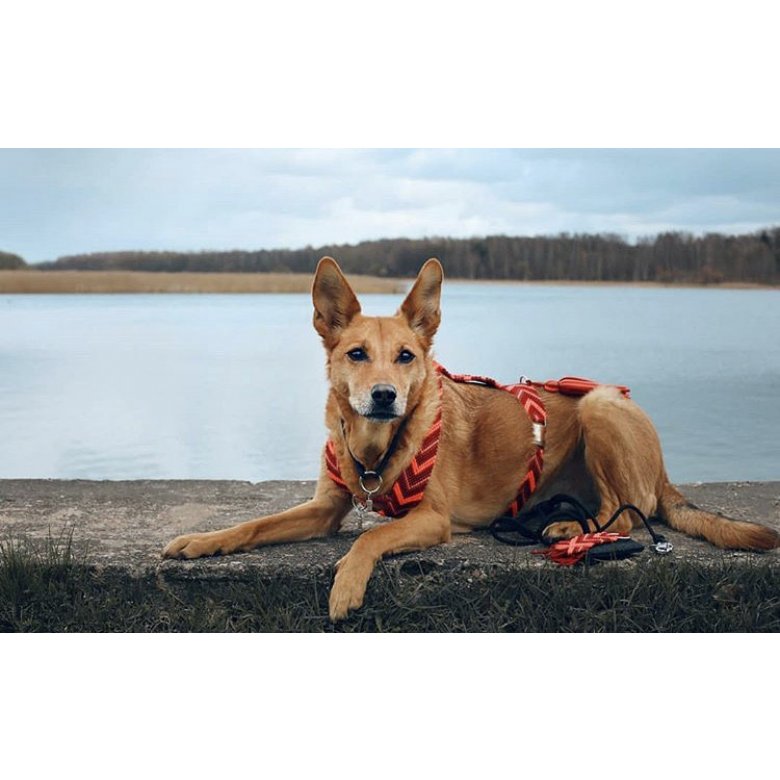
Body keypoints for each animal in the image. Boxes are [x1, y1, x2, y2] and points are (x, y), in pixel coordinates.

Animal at [165, 258, 780, 620]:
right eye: (356, 354)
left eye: (406, 356)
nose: (384, 396)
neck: (378, 446)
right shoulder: (324, 507)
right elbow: (253, 525)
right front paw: (203, 541)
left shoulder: (430, 519)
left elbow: (369, 538)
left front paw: (346, 586)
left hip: (602, 404)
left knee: (628, 512)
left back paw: (569, 529)